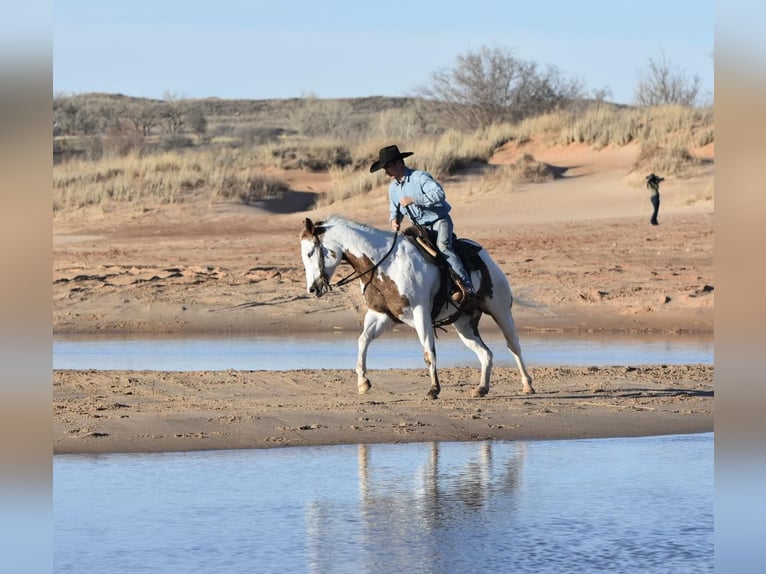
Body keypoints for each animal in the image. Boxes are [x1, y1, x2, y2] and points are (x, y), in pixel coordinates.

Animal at [300, 216, 536, 400]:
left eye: (311, 252)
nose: (312, 289)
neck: (385, 264)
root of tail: (485, 256)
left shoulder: (420, 312)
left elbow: (428, 351)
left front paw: (433, 389)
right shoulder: (383, 315)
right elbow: (363, 340)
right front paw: (363, 383)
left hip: (500, 310)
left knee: (513, 345)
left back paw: (527, 385)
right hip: (465, 325)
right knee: (485, 354)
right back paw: (481, 388)